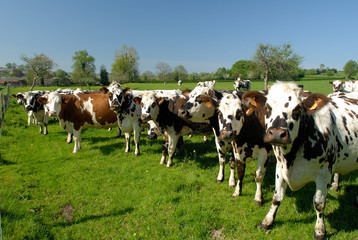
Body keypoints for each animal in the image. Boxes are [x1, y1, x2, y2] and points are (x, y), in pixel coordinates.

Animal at [242, 82, 358, 238]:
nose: (277, 134)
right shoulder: (280, 168)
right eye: (267, 107)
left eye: (297, 109)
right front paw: (267, 221)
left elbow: (319, 203)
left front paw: (320, 230)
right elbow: (276, 197)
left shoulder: (324, 173)